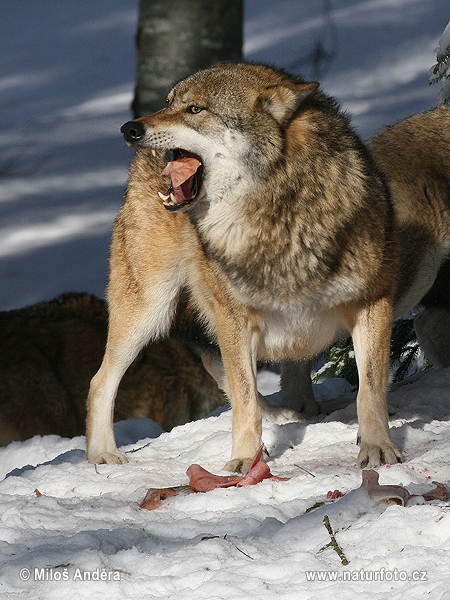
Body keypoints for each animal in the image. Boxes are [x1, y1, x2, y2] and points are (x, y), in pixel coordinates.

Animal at [85, 62, 450, 474]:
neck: (277, 211)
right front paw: (245, 459)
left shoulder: (373, 303)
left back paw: (291, 413)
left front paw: (378, 448)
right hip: (149, 311)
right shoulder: (234, 316)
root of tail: (141, 164)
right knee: (102, 381)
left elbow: (370, 389)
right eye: (168, 103)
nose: (129, 129)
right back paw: (103, 454)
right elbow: (244, 399)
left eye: (194, 109)